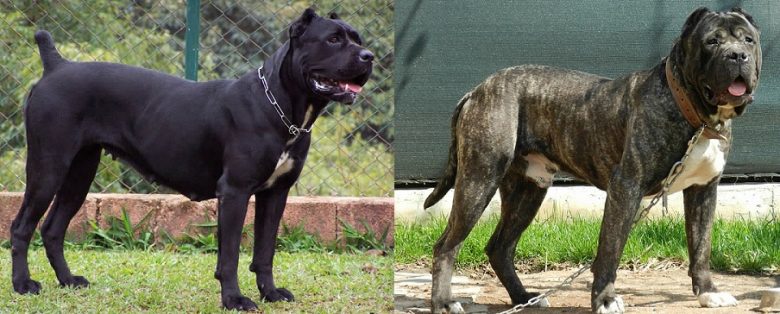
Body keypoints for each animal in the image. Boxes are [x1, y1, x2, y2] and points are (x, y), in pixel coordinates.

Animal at [9, 8, 374, 310]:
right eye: (333, 39)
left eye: (357, 38)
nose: (369, 56)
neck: (283, 106)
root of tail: (57, 65)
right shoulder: (235, 191)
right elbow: (230, 254)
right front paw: (234, 300)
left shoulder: (275, 193)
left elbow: (265, 251)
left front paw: (270, 293)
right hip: (48, 167)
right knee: (21, 226)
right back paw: (23, 285)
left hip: (79, 173)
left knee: (52, 229)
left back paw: (68, 281)